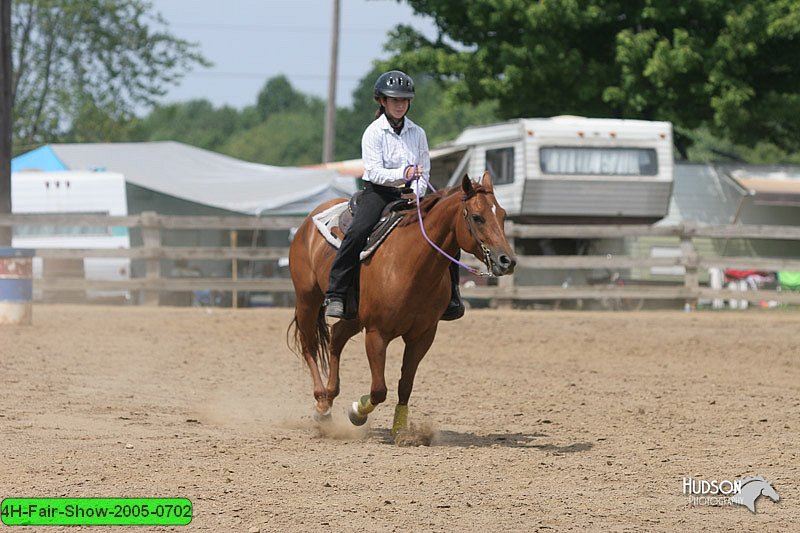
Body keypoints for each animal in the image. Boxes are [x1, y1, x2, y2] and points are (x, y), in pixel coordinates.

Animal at [288, 171, 520, 436]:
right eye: (477, 217)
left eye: (502, 215)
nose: (507, 261)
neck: (410, 266)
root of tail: (309, 221)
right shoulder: (377, 333)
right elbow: (379, 389)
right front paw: (357, 412)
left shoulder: (423, 336)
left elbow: (405, 385)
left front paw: (401, 430)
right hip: (308, 299)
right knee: (309, 345)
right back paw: (321, 404)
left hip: (354, 315)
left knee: (336, 337)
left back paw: (329, 396)